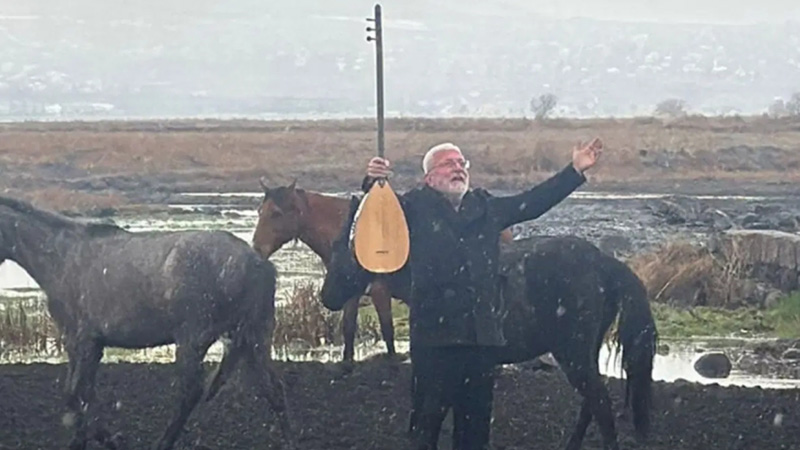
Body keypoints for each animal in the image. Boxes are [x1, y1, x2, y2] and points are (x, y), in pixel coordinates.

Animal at [0, 196, 294, 450]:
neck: (61, 257)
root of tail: (258, 264)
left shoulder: (81, 341)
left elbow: (76, 394)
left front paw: (108, 439)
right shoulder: (88, 345)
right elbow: (80, 393)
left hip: (193, 339)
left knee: (190, 392)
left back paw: (164, 442)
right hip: (253, 337)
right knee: (274, 389)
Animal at [252, 179, 512, 362]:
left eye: (276, 213)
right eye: (259, 211)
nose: (256, 247)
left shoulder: (379, 292)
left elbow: (387, 331)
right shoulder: (352, 295)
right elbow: (348, 329)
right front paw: (347, 365)